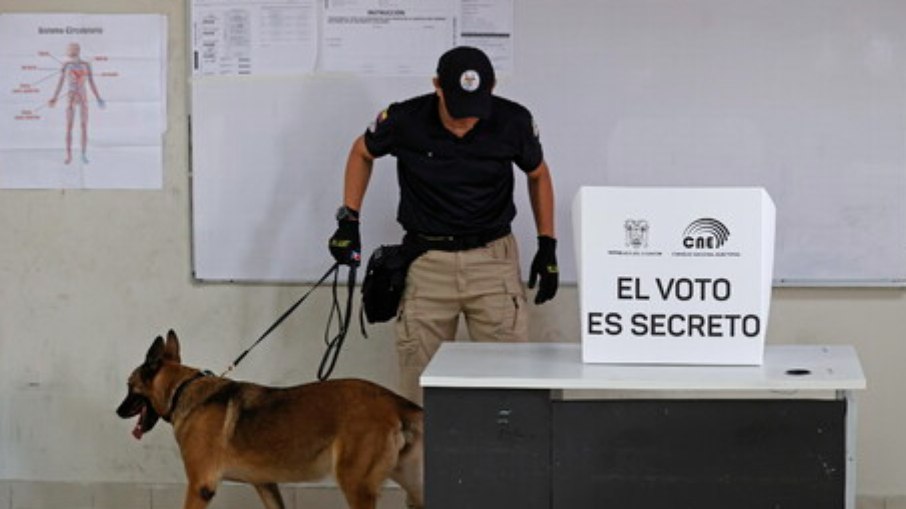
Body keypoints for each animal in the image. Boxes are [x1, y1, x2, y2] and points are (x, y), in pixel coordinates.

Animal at [116, 330, 424, 508]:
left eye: (130, 386)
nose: (118, 411)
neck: (184, 388)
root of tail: (393, 400)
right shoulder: (265, 485)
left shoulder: (200, 486)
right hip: (411, 485)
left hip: (356, 486)